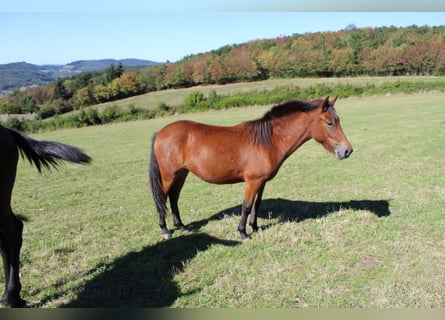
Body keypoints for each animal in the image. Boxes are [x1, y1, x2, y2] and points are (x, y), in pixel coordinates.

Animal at [149, 96, 350, 241]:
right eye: (330, 123)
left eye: (338, 120)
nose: (347, 150)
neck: (268, 141)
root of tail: (161, 132)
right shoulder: (252, 181)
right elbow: (246, 206)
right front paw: (243, 233)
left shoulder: (261, 182)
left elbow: (256, 205)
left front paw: (255, 227)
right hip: (169, 175)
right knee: (162, 198)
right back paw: (165, 230)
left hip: (181, 173)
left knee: (174, 197)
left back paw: (182, 226)